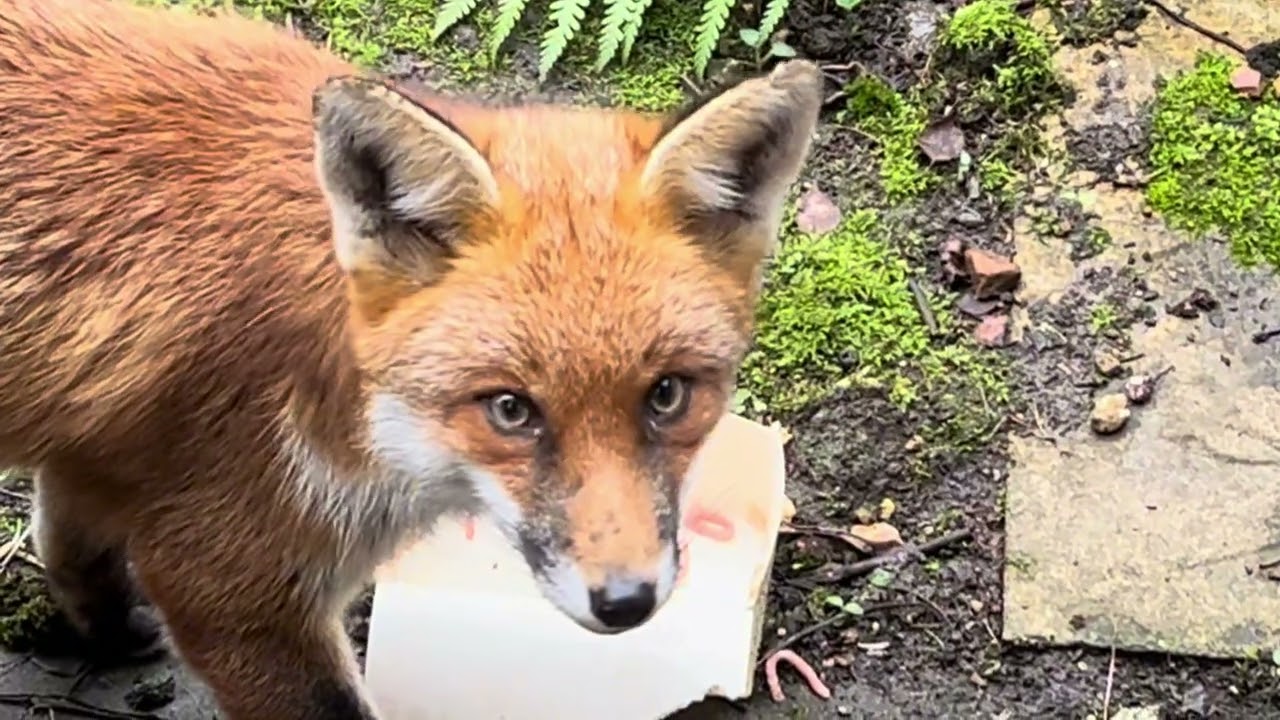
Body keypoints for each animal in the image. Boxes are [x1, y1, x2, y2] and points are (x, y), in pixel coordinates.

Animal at [0, 0, 823, 717]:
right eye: (510, 409)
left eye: (668, 395)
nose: (627, 603)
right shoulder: (226, 579)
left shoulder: (93, 442)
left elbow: (66, 530)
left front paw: (102, 624)